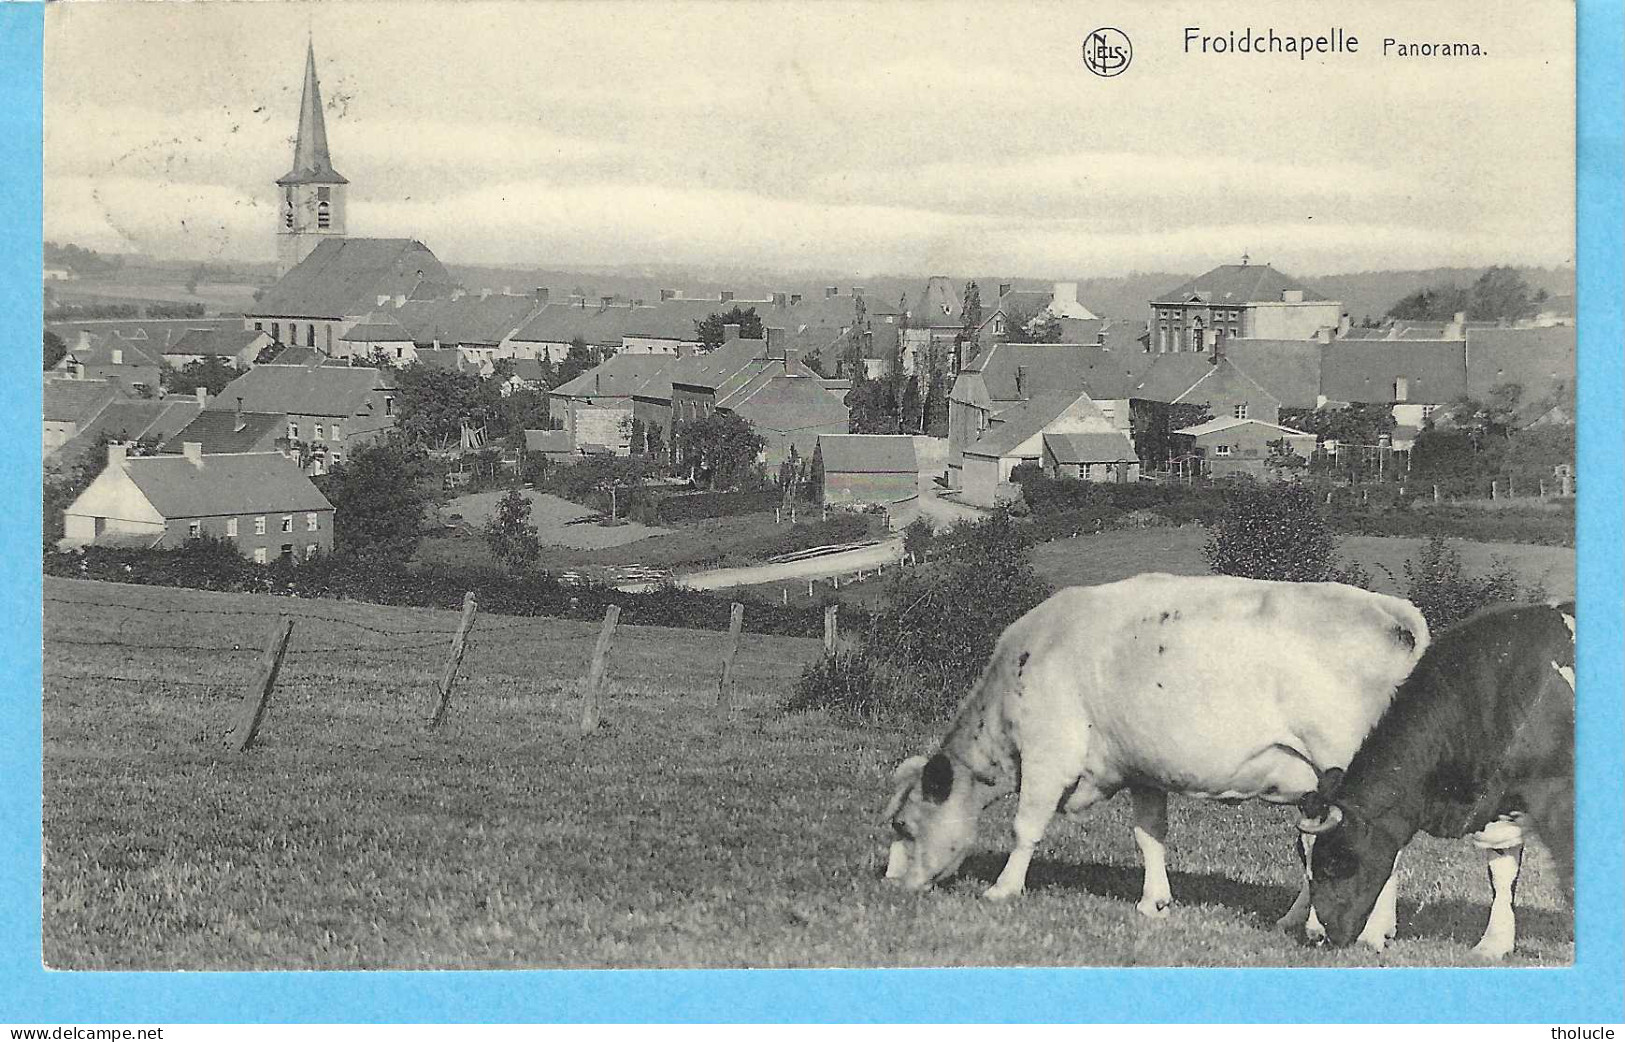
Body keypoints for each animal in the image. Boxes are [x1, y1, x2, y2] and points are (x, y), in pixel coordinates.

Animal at [884, 572, 1430, 929]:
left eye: (904, 827)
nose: (893, 888)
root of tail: (1387, 608)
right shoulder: (1143, 770)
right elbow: (1150, 837)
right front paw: (1155, 903)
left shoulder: (1049, 752)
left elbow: (1025, 827)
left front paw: (1002, 889)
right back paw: (1296, 921)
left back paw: (1365, 933)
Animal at [1293, 598, 1573, 955]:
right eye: (1305, 860)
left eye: (1337, 861)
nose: (1316, 935)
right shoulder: (1499, 807)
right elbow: (1502, 874)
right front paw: (1493, 945)